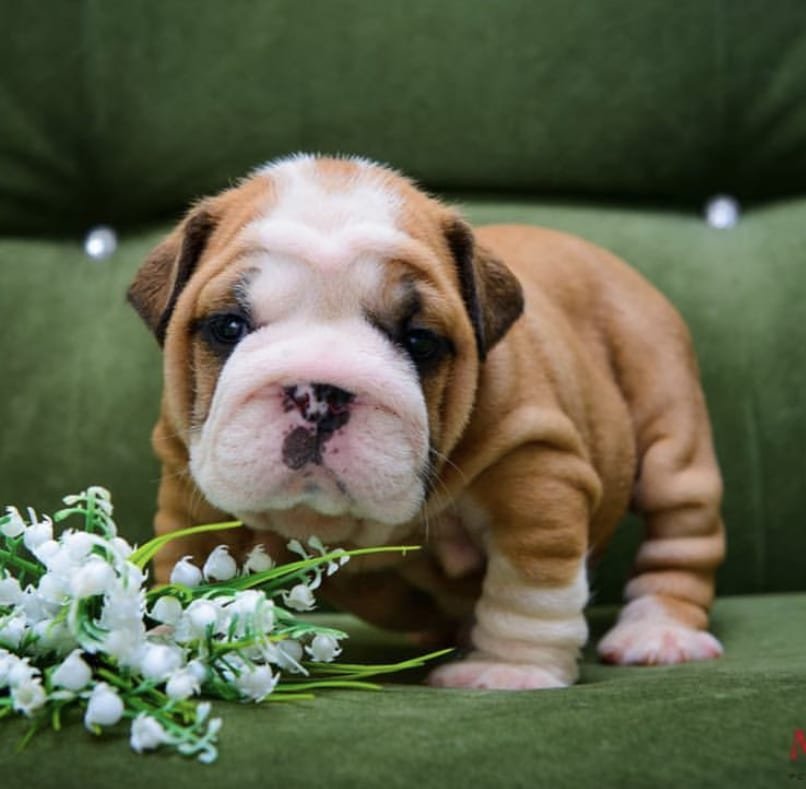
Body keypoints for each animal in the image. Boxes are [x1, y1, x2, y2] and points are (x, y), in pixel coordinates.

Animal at [131, 152, 724, 684]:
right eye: (228, 327)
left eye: (420, 341)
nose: (321, 393)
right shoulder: (187, 493)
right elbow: (187, 568)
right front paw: (169, 649)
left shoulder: (536, 475)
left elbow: (531, 587)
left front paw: (509, 670)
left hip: (666, 414)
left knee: (681, 534)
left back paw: (659, 633)